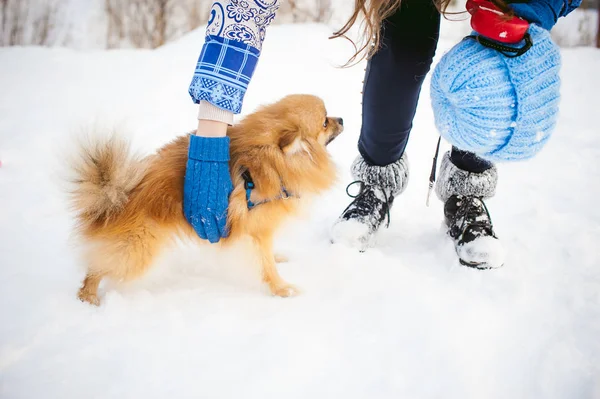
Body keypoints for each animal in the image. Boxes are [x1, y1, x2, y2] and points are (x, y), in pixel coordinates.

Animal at [67, 94, 342, 306]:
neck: (272, 161)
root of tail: (116, 200)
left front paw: (277, 258)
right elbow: (265, 265)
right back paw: (88, 297)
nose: (341, 119)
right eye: (324, 122)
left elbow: (267, 255)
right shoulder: (257, 229)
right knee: (98, 266)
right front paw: (282, 289)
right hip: (137, 249)